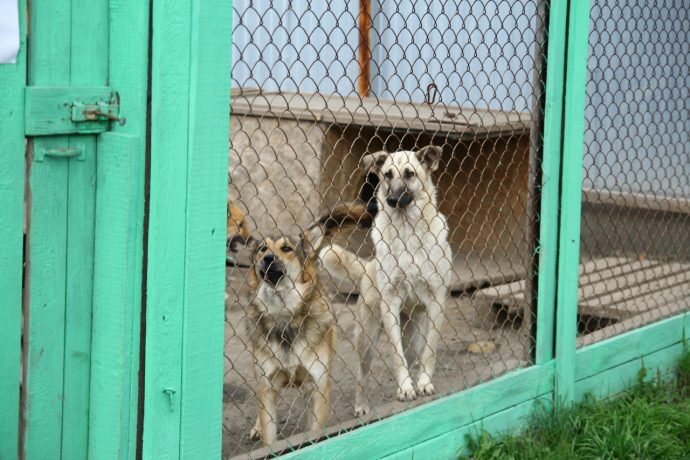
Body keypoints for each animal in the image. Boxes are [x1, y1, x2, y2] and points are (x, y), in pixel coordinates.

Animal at [246, 232, 334, 444]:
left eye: (286, 248)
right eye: (262, 248)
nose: (267, 258)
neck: (284, 315)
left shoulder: (319, 387)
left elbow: (315, 432)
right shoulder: (267, 387)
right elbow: (269, 438)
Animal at [318, 146, 452, 416]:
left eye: (410, 174)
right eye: (387, 175)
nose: (391, 200)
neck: (408, 231)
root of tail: (368, 266)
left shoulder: (437, 300)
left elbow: (430, 349)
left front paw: (423, 382)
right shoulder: (390, 302)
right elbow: (396, 356)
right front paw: (405, 388)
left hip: (413, 337)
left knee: (415, 356)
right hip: (367, 340)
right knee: (362, 375)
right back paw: (361, 407)